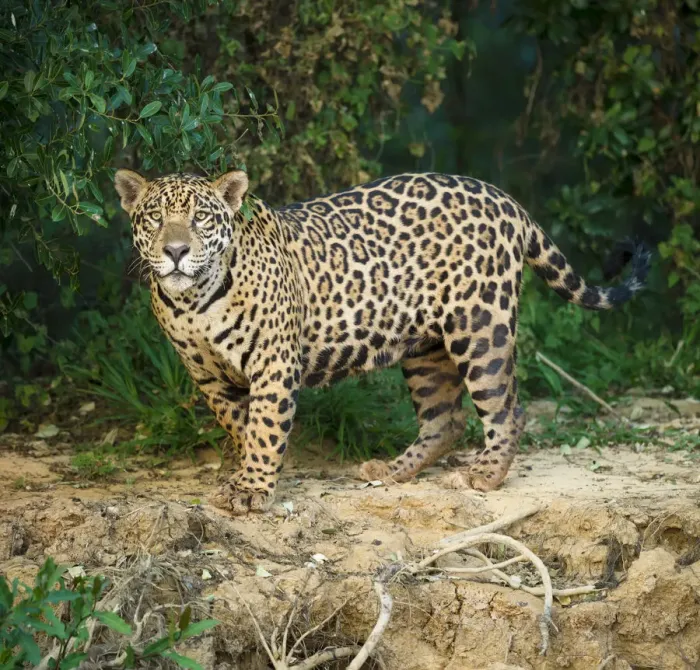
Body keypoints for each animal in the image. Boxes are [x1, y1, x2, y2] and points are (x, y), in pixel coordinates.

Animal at [114, 168, 650, 515]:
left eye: (201, 219)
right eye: (154, 218)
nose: (176, 251)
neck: (194, 300)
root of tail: (502, 196)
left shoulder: (273, 363)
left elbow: (266, 426)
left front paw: (251, 489)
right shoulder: (208, 377)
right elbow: (243, 425)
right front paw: (248, 474)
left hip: (480, 326)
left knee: (507, 408)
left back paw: (485, 474)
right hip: (425, 348)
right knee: (445, 420)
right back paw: (391, 471)